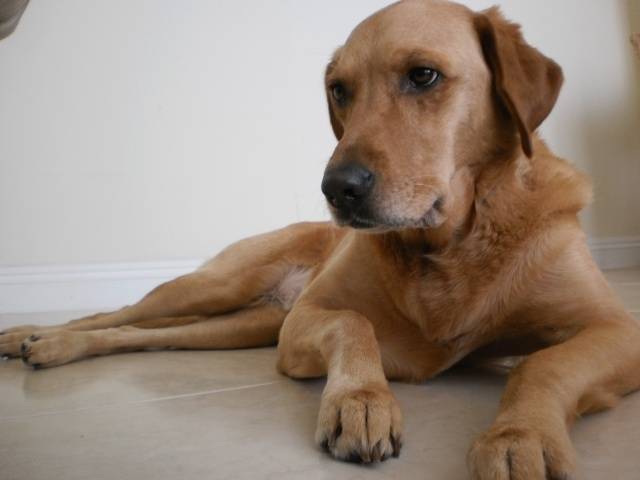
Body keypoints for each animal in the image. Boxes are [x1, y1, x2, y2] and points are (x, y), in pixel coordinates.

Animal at [2, 1, 639, 478]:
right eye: (339, 89)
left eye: (423, 75)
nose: (338, 189)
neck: (451, 241)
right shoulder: (309, 317)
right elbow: (354, 324)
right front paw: (361, 401)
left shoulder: (617, 329)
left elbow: (544, 365)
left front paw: (518, 434)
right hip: (218, 288)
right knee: (115, 314)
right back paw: (36, 337)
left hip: (240, 327)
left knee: (143, 336)